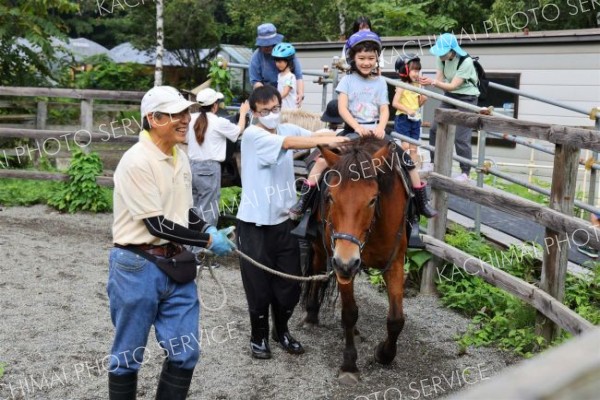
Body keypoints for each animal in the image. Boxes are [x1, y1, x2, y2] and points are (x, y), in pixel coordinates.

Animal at [304, 137, 408, 384]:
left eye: (372, 200)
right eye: (330, 197)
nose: (347, 261)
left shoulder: (395, 262)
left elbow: (396, 319)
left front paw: (384, 354)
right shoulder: (341, 265)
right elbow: (350, 313)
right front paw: (349, 365)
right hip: (321, 249)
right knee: (316, 271)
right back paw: (311, 314)